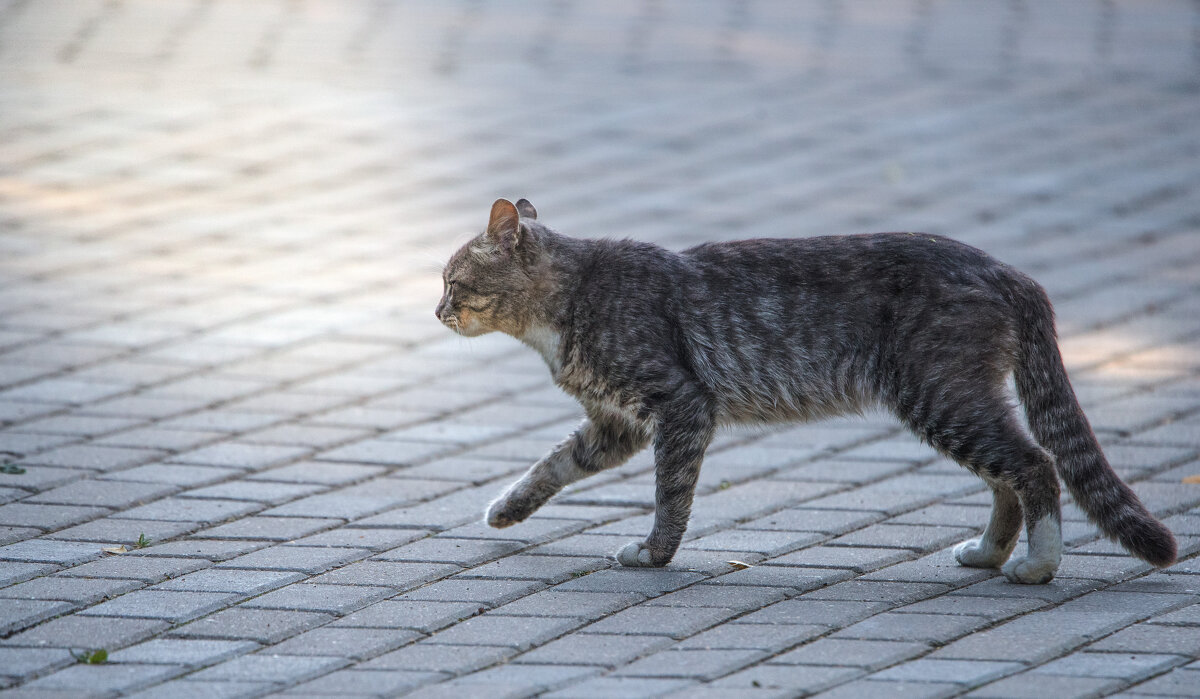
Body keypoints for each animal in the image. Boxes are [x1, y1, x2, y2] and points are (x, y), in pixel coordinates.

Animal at [436, 198, 1176, 586]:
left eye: (451, 279)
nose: (436, 311)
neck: (563, 310)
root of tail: (1008, 271)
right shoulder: (615, 424)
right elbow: (552, 463)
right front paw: (506, 508)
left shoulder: (680, 406)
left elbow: (671, 493)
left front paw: (653, 553)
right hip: (956, 397)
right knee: (1008, 475)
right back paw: (988, 551)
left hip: (939, 395)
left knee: (1034, 464)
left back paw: (1036, 564)